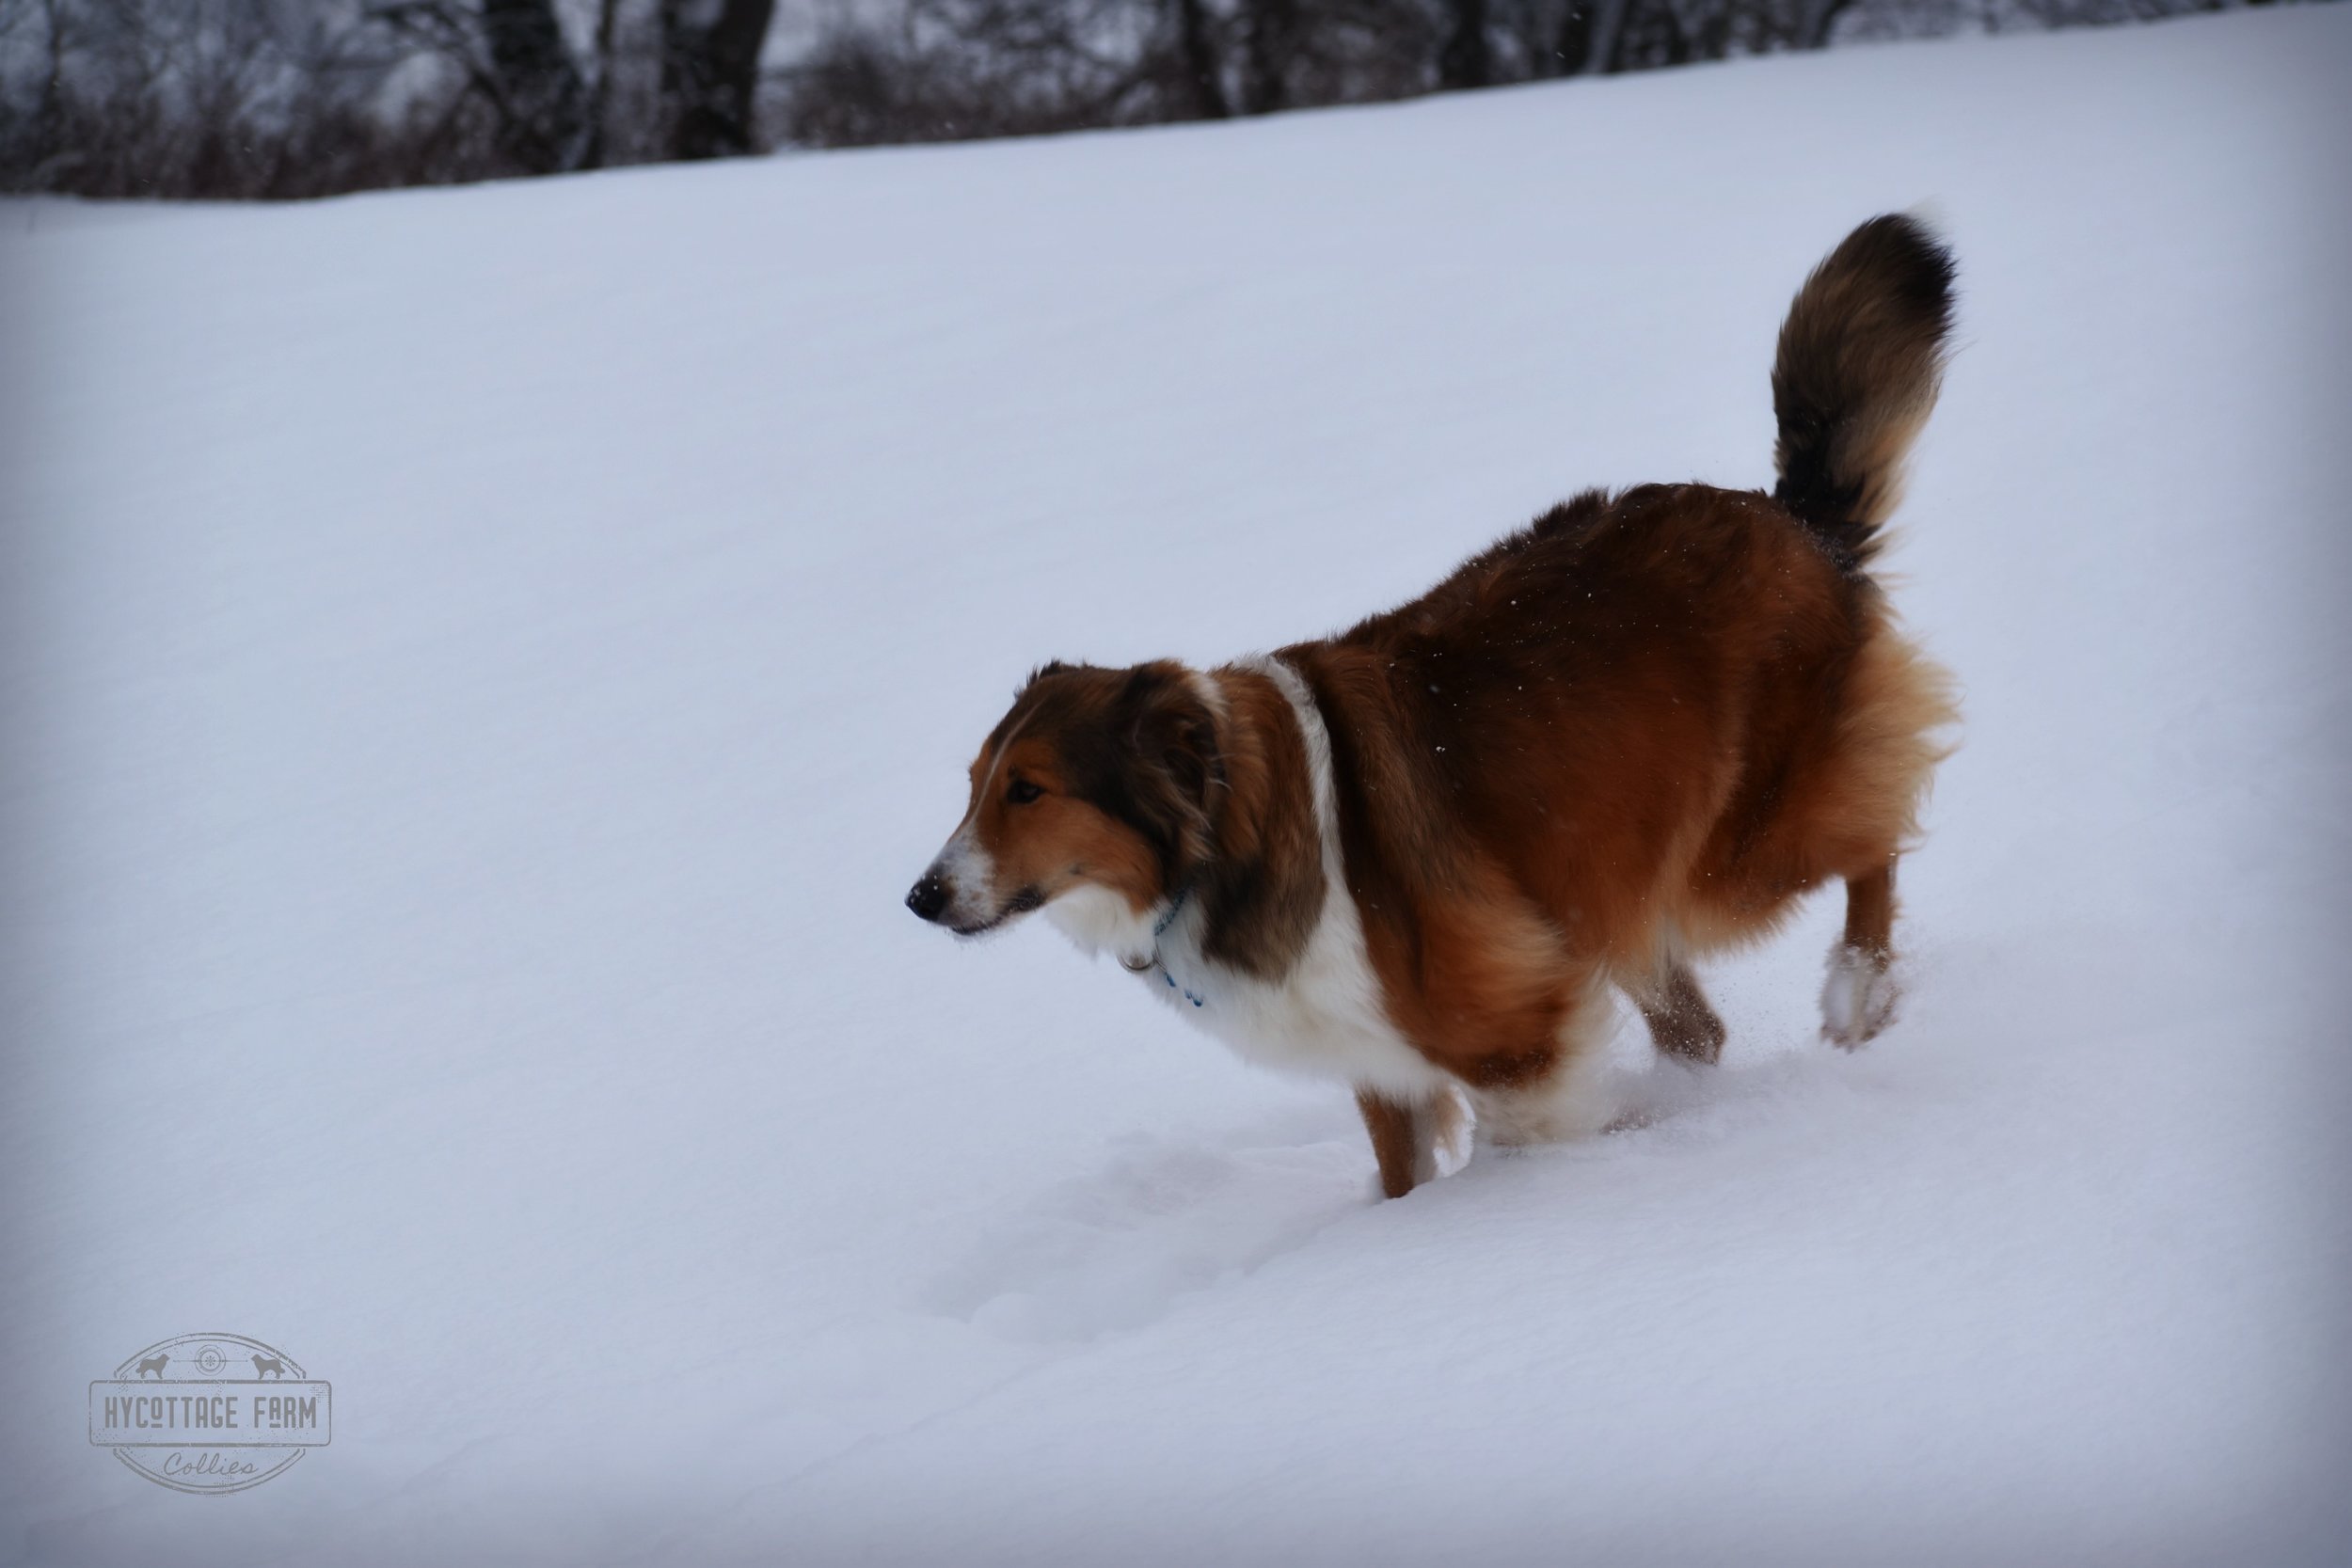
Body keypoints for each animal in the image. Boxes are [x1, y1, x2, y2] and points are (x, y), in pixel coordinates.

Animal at [908, 214, 1957, 1203]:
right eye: (974, 783)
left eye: (1029, 789)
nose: (919, 897)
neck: (1222, 836)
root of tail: (1792, 517)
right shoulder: (1386, 1058)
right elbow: (1401, 1176)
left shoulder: (1515, 1024)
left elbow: (1520, 1136)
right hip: (1615, 883)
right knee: (1704, 1026)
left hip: (1736, 853)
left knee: (1872, 844)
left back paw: (1858, 993)